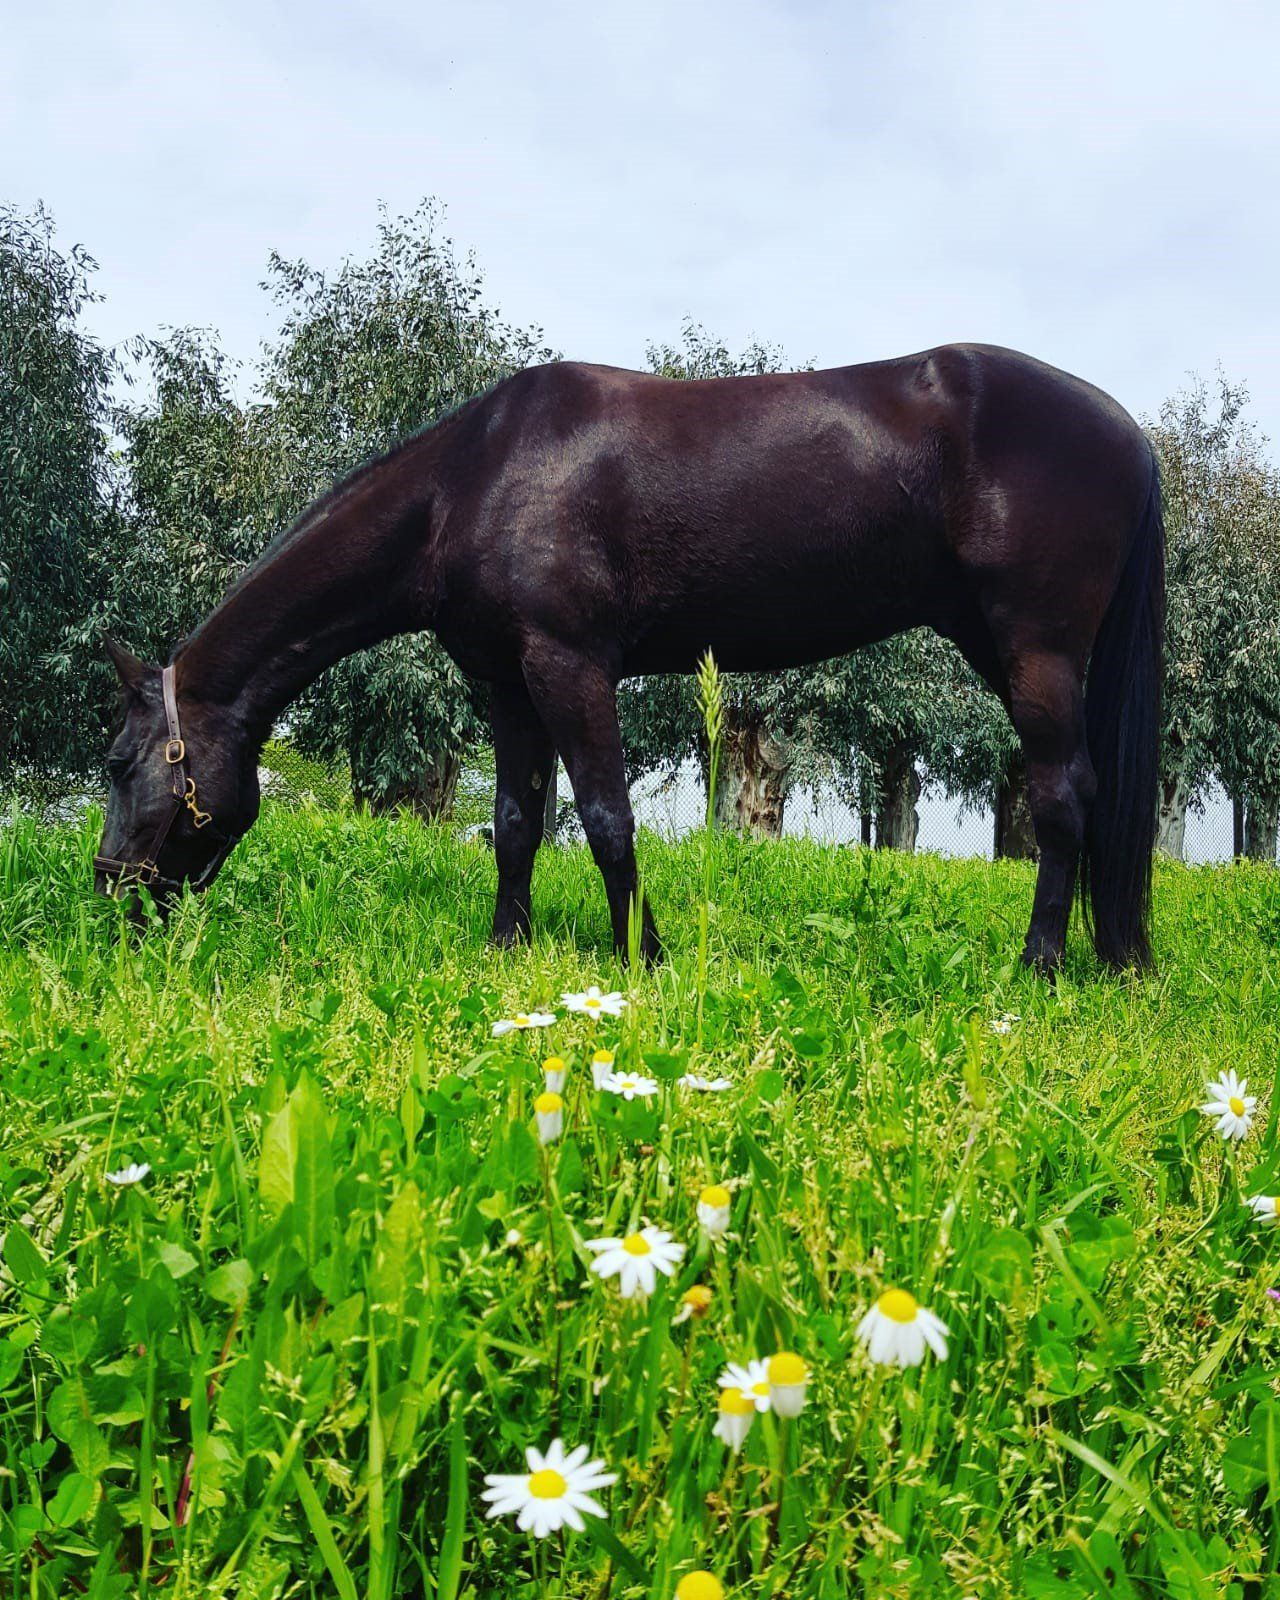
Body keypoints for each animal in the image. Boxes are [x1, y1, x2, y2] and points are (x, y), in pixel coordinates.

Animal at [95, 342, 1164, 972]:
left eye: (117, 763)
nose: (110, 896)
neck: (474, 479)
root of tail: (1125, 427)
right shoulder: (506, 684)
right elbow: (516, 821)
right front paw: (509, 947)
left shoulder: (570, 666)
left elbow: (607, 819)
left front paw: (641, 956)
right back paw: (1112, 960)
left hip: (1035, 649)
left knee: (1062, 797)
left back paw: (1040, 965)